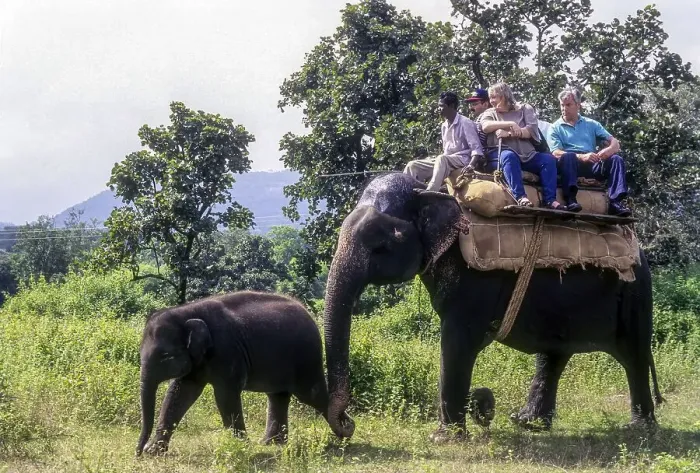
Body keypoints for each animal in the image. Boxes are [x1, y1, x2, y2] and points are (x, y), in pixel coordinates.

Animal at [136, 290, 354, 455]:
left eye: (165, 356)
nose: (138, 452)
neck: (185, 312)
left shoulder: (227, 352)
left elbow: (225, 395)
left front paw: (242, 448)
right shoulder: (197, 360)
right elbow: (180, 393)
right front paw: (154, 452)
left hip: (306, 358)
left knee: (312, 394)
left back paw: (346, 432)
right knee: (278, 396)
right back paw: (270, 444)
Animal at [323, 172, 662, 441]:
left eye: (382, 246)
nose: (348, 424)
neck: (430, 190)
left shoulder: (476, 281)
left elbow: (458, 340)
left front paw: (444, 438)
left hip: (635, 293)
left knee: (633, 353)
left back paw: (640, 429)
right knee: (554, 355)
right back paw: (527, 423)